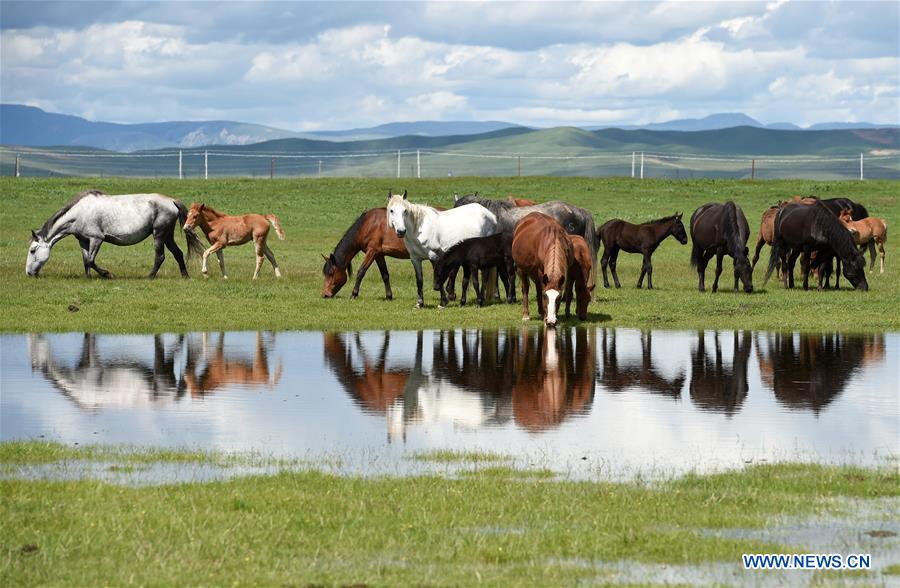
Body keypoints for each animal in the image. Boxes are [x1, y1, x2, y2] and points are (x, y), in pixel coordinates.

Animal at [25, 189, 205, 280]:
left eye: (33, 250)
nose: (28, 273)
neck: (80, 212)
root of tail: (172, 201)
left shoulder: (97, 239)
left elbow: (91, 261)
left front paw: (108, 274)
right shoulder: (83, 241)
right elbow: (85, 261)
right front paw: (88, 278)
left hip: (159, 234)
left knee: (160, 256)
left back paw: (149, 277)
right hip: (167, 235)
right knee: (178, 253)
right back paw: (185, 276)